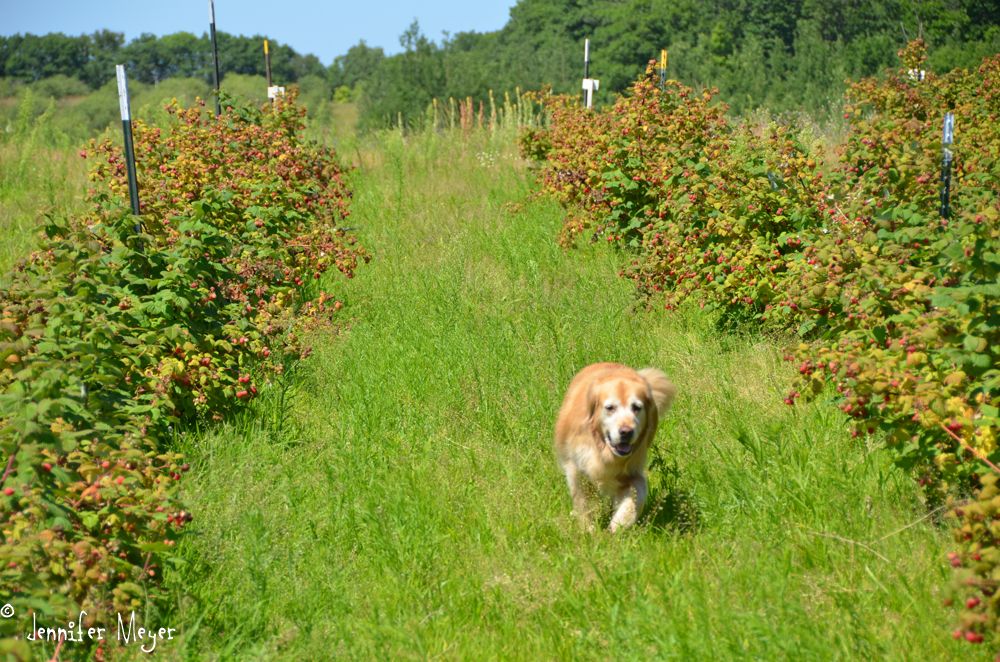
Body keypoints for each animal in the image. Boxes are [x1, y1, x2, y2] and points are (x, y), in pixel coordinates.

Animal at [552, 364, 676, 536]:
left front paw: (620, 523)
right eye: (610, 408)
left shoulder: (632, 472)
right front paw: (587, 529)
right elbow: (582, 501)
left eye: (637, 407)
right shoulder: (576, 467)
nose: (626, 431)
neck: (603, 451)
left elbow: (635, 498)